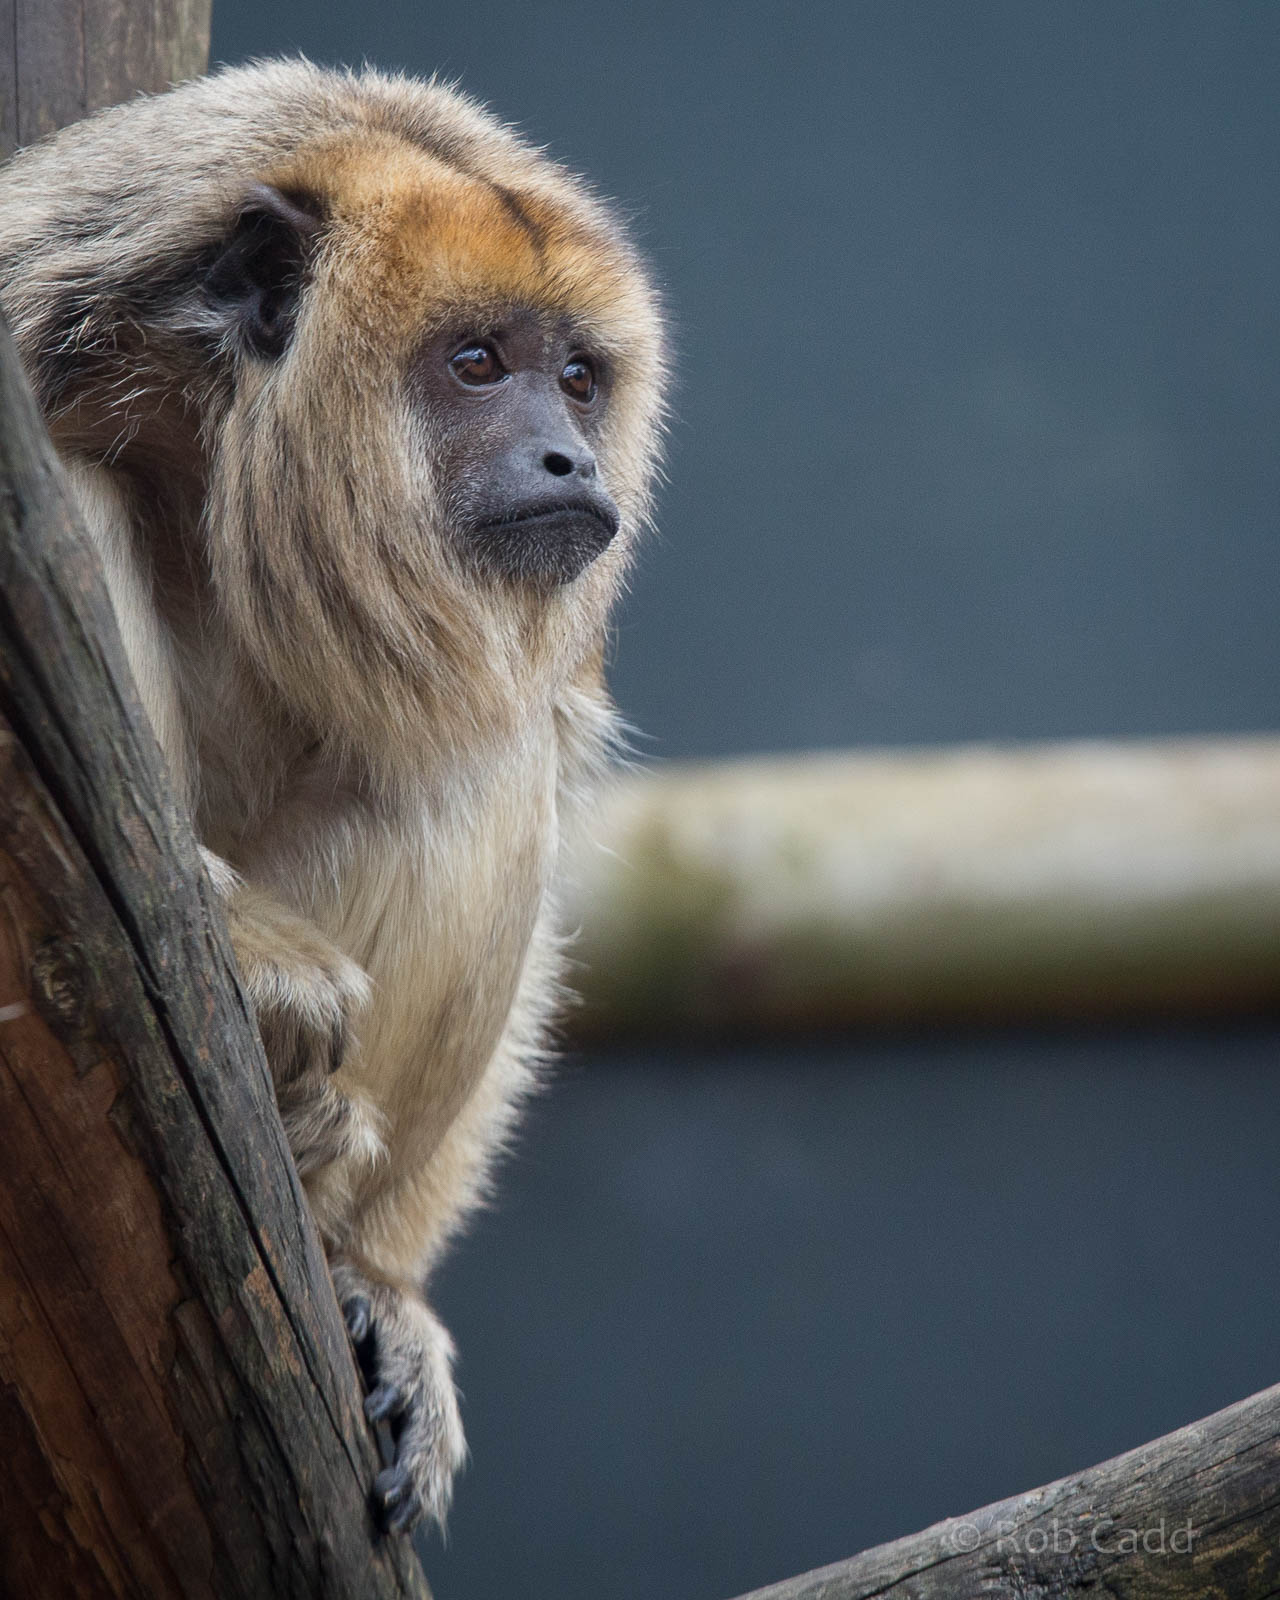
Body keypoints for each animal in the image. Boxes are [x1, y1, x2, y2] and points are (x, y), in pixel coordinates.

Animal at [0, 59, 665, 1535]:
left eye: (576, 379)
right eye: (475, 364)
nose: (570, 461)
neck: (218, 433)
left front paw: (392, 1284)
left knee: (480, 754)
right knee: (76, 493)